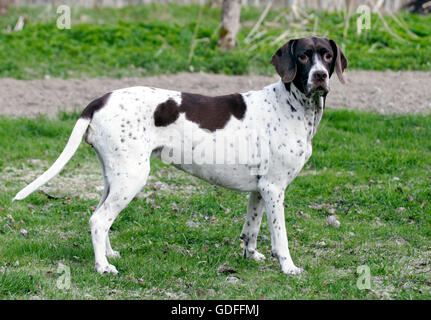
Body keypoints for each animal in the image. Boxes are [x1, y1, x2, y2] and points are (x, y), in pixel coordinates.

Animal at [14, 37, 348, 276]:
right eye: (303, 56)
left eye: (327, 56)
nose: (320, 76)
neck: (291, 105)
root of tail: (99, 100)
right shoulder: (275, 189)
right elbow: (281, 237)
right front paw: (288, 267)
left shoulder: (261, 189)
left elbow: (251, 230)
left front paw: (250, 256)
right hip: (132, 178)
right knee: (98, 219)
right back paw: (103, 267)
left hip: (115, 178)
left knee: (100, 217)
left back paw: (108, 254)